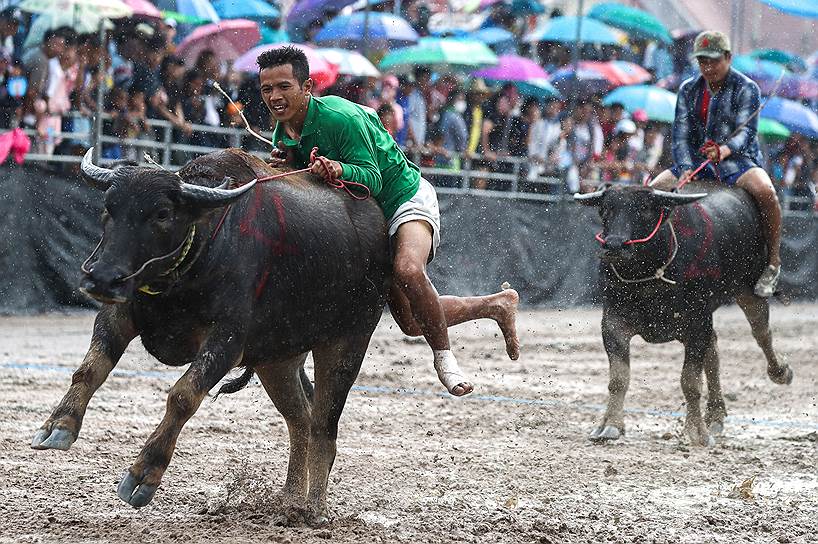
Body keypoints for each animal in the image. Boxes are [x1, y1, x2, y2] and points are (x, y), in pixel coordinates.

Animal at [31, 147, 388, 524]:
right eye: (108, 207)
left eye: (162, 213)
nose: (101, 278)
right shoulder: (119, 313)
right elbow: (89, 369)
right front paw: (58, 426)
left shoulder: (227, 342)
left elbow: (183, 396)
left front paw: (143, 476)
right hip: (277, 357)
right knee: (300, 419)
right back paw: (290, 500)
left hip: (348, 342)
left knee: (323, 425)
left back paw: (313, 509)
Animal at [572, 184, 792, 446]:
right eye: (605, 209)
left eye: (645, 209)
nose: (614, 245)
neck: (648, 277)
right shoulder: (613, 323)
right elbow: (618, 379)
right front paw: (609, 426)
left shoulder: (697, 325)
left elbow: (690, 382)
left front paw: (697, 433)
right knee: (714, 350)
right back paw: (715, 416)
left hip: (748, 290)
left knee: (761, 332)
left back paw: (780, 372)